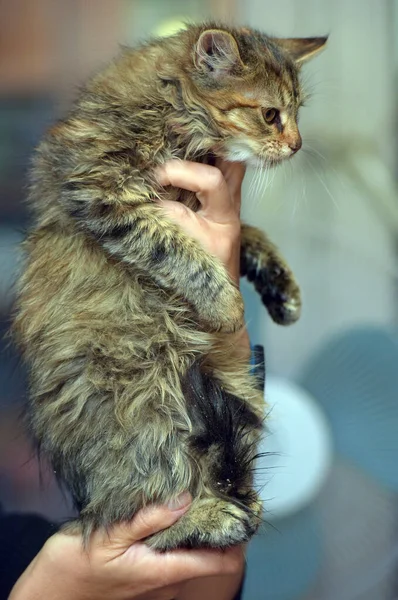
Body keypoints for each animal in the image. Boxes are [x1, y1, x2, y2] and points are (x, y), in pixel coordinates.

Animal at [14, 22, 326, 548]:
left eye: (298, 114)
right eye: (271, 115)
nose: (297, 145)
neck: (169, 107)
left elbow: (252, 236)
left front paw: (283, 291)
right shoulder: (102, 191)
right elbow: (177, 250)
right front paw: (226, 306)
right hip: (148, 411)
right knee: (136, 519)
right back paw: (213, 519)